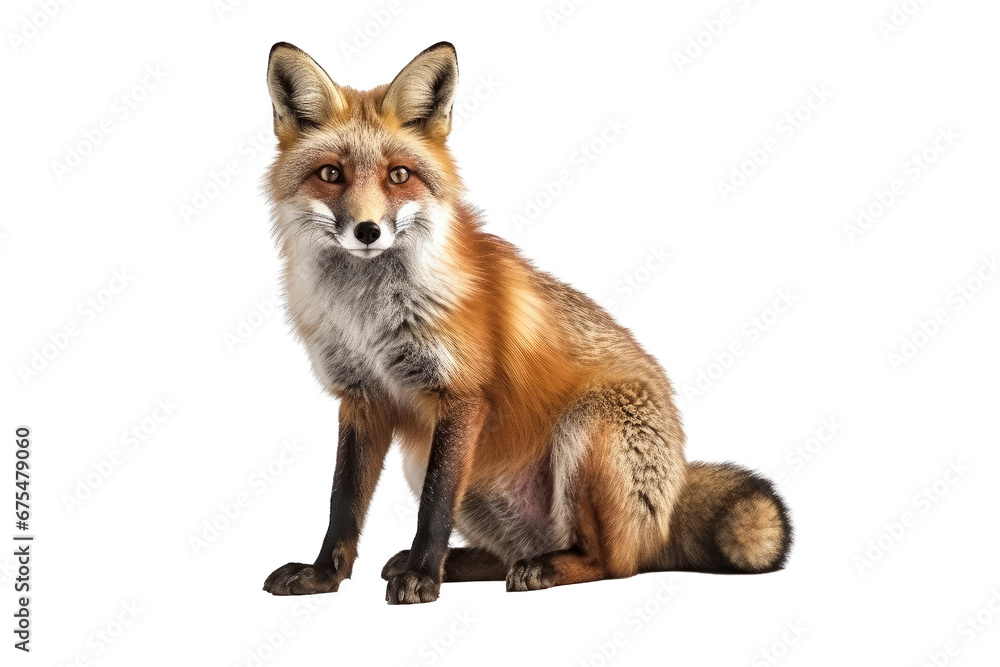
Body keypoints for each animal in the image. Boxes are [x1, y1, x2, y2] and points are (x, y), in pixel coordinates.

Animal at [261, 41, 792, 605]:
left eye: (398, 175)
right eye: (330, 174)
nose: (367, 230)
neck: (369, 318)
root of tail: (668, 506)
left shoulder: (462, 395)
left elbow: (433, 508)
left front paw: (423, 578)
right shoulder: (361, 399)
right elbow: (343, 504)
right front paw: (324, 574)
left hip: (588, 426)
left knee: (611, 563)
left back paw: (540, 568)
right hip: (433, 464)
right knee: (509, 552)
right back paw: (466, 561)